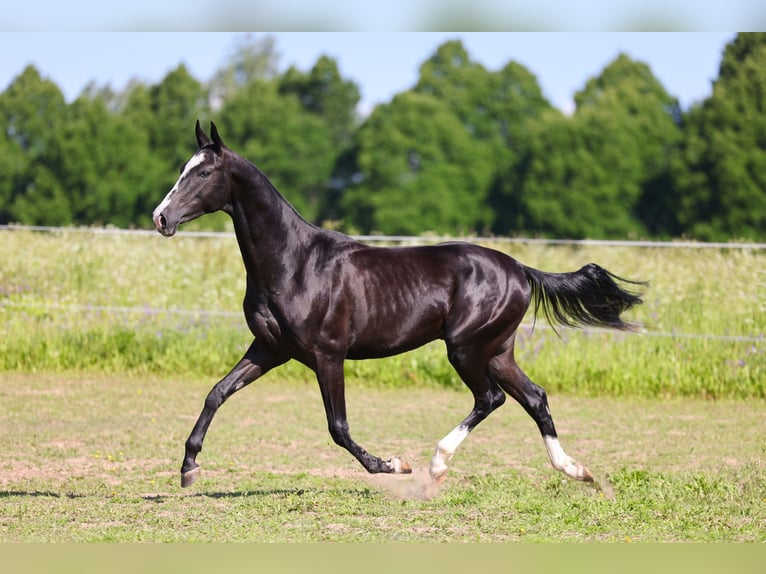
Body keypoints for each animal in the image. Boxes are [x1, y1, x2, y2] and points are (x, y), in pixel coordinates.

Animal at [153, 121, 644, 490]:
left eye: (201, 174)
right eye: (182, 168)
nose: (161, 217)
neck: (294, 263)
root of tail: (520, 269)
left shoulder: (326, 354)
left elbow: (338, 427)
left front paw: (392, 464)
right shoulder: (270, 349)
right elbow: (217, 392)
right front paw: (189, 468)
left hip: (465, 348)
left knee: (491, 397)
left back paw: (437, 464)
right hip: (497, 350)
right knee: (534, 397)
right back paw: (577, 471)